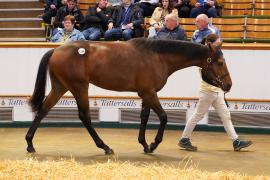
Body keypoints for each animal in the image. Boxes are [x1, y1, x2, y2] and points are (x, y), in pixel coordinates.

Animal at [25, 37, 232, 154]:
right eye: (220, 62)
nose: (229, 85)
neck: (157, 56)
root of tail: (56, 49)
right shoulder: (149, 93)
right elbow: (163, 117)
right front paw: (154, 144)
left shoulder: (147, 93)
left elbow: (144, 117)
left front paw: (144, 144)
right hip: (79, 87)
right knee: (85, 116)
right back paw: (105, 147)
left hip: (60, 87)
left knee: (43, 110)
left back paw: (30, 143)